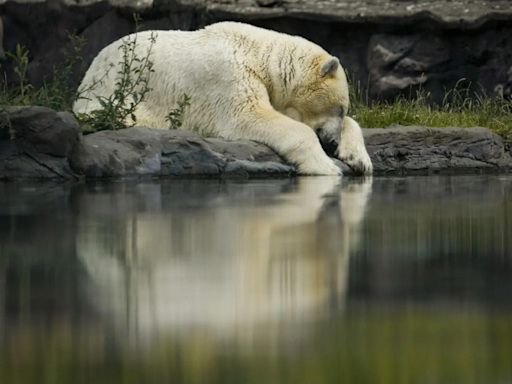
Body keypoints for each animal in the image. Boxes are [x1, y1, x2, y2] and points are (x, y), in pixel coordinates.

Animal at [73, 21, 372, 175]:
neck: (259, 53)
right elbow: (248, 115)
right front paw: (326, 166)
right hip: (118, 93)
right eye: (338, 107)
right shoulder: (230, 75)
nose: (331, 143)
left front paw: (360, 159)